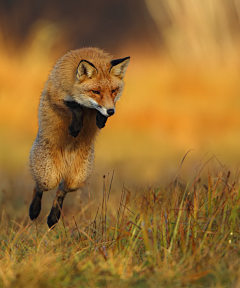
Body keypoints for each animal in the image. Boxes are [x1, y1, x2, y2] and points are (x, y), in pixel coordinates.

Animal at [29, 47, 130, 227]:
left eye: (113, 91)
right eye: (95, 92)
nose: (111, 111)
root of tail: (64, 165)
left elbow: (91, 111)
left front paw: (100, 119)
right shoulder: (55, 96)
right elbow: (75, 106)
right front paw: (75, 127)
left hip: (76, 179)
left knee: (61, 191)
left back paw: (53, 218)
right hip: (49, 176)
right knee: (38, 187)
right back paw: (34, 211)